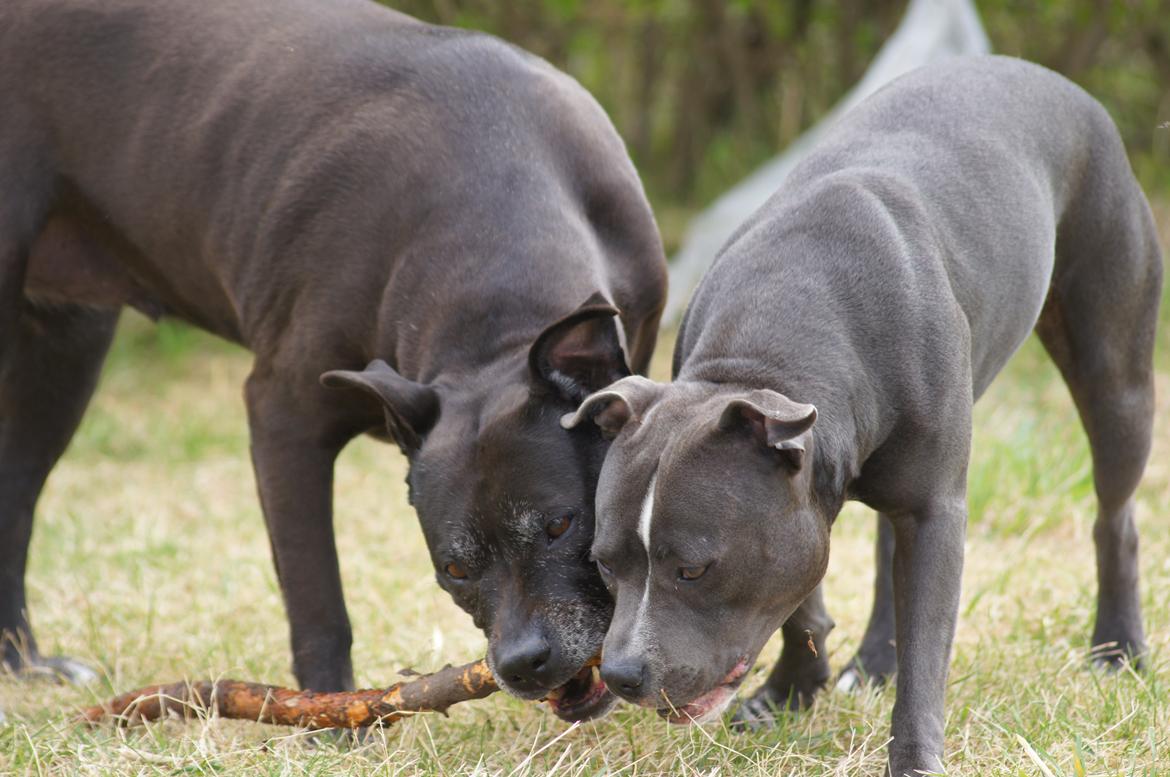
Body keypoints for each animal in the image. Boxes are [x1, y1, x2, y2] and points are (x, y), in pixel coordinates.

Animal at [0, 0, 664, 720]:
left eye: (561, 524)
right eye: (453, 568)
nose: (522, 662)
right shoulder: (283, 421)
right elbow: (317, 598)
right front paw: (329, 715)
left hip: (64, 355)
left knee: (15, 497)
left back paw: (23, 663)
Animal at [563, 57, 1160, 772]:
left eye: (694, 569)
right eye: (603, 563)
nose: (621, 674)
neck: (772, 348)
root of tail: (1041, 75)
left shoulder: (934, 513)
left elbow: (927, 646)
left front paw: (914, 757)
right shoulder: (799, 500)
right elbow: (799, 603)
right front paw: (790, 693)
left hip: (1116, 379)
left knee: (1115, 516)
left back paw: (1118, 648)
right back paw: (873, 663)